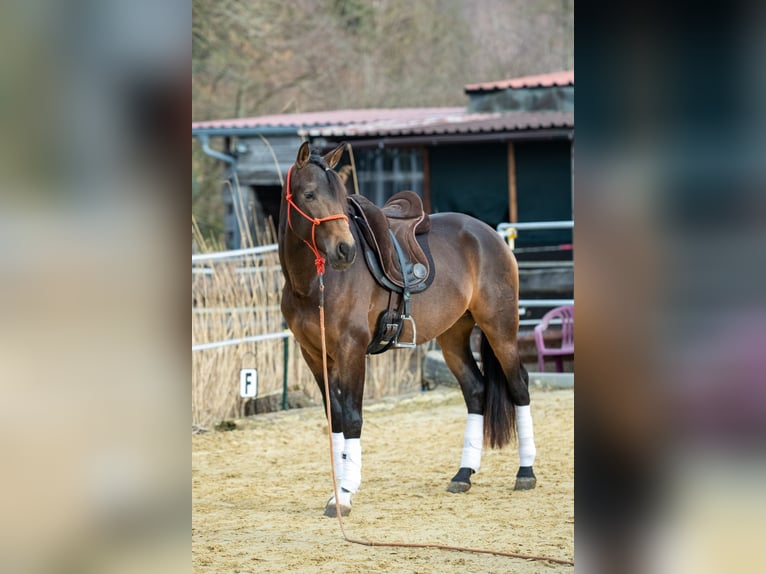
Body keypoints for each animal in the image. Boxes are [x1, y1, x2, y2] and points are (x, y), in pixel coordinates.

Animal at [279, 142, 537, 517]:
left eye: (340, 197)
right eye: (309, 194)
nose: (346, 250)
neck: (314, 284)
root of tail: (489, 234)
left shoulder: (350, 351)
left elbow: (352, 418)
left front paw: (346, 492)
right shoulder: (314, 355)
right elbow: (335, 419)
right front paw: (338, 491)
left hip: (500, 327)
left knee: (519, 385)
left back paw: (526, 471)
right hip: (453, 337)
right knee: (475, 391)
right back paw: (463, 474)